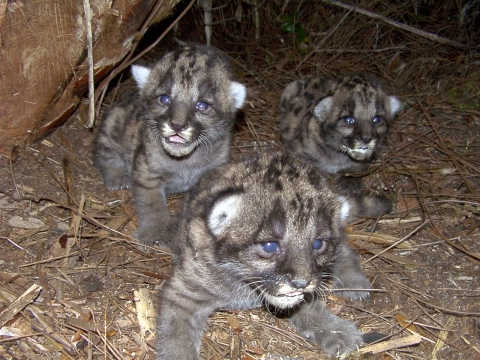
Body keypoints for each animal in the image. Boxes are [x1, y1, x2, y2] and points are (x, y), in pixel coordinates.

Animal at [93, 44, 246, 248]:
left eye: (202, 105)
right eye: (165, 99)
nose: (177, 125)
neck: (185, 162)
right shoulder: (147, 173)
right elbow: (152, 205)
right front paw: (156, 233)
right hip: (113, 126)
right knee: (104, 153)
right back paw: (116, 177)